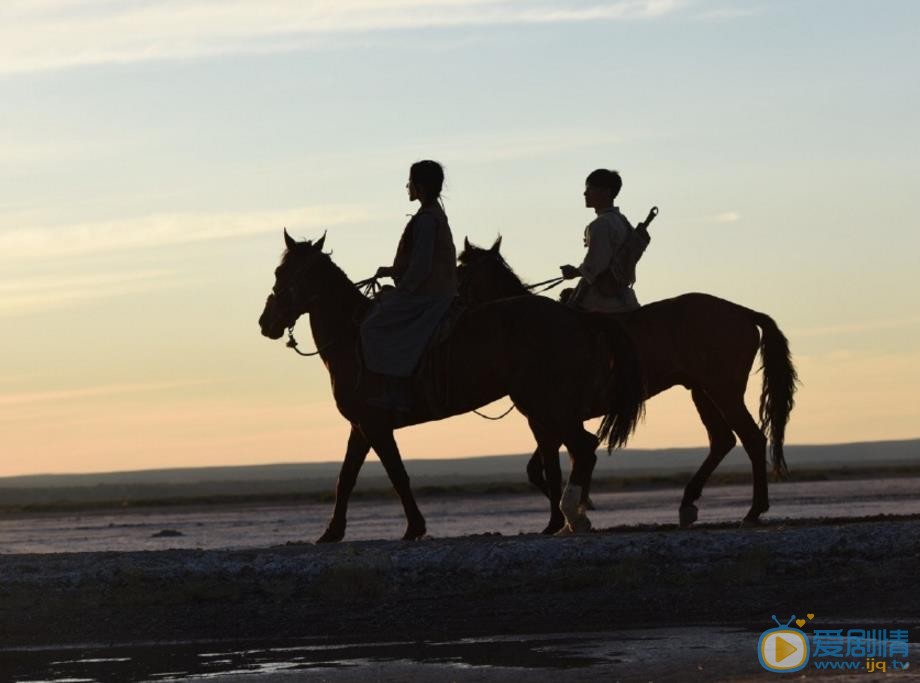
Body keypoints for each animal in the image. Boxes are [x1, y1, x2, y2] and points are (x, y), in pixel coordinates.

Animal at [258, 232, 648, 544]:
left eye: (281, 274)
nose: (266, 322)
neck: (353, 337)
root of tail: (577, 317)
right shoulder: (362, 426)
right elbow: (346, 477)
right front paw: (332, 532)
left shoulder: (376, 426)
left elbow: (397, 474)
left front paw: (414, 528)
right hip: (547, 407)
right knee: (572, 452)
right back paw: (565, 518)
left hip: (546, 404)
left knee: (583, 447)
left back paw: (572, 516)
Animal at [460, 238, 796, 528]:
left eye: (461, 270)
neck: (530, 329)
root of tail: (743, 312)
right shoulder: (558, 417)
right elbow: (549, 465)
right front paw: (578, 509)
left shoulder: (549, 417)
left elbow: (551, 466)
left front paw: (572, 513)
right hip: (702, 391)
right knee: (722, 440)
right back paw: (688, 504)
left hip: (723, 391)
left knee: (752, 439)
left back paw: (753, 511)